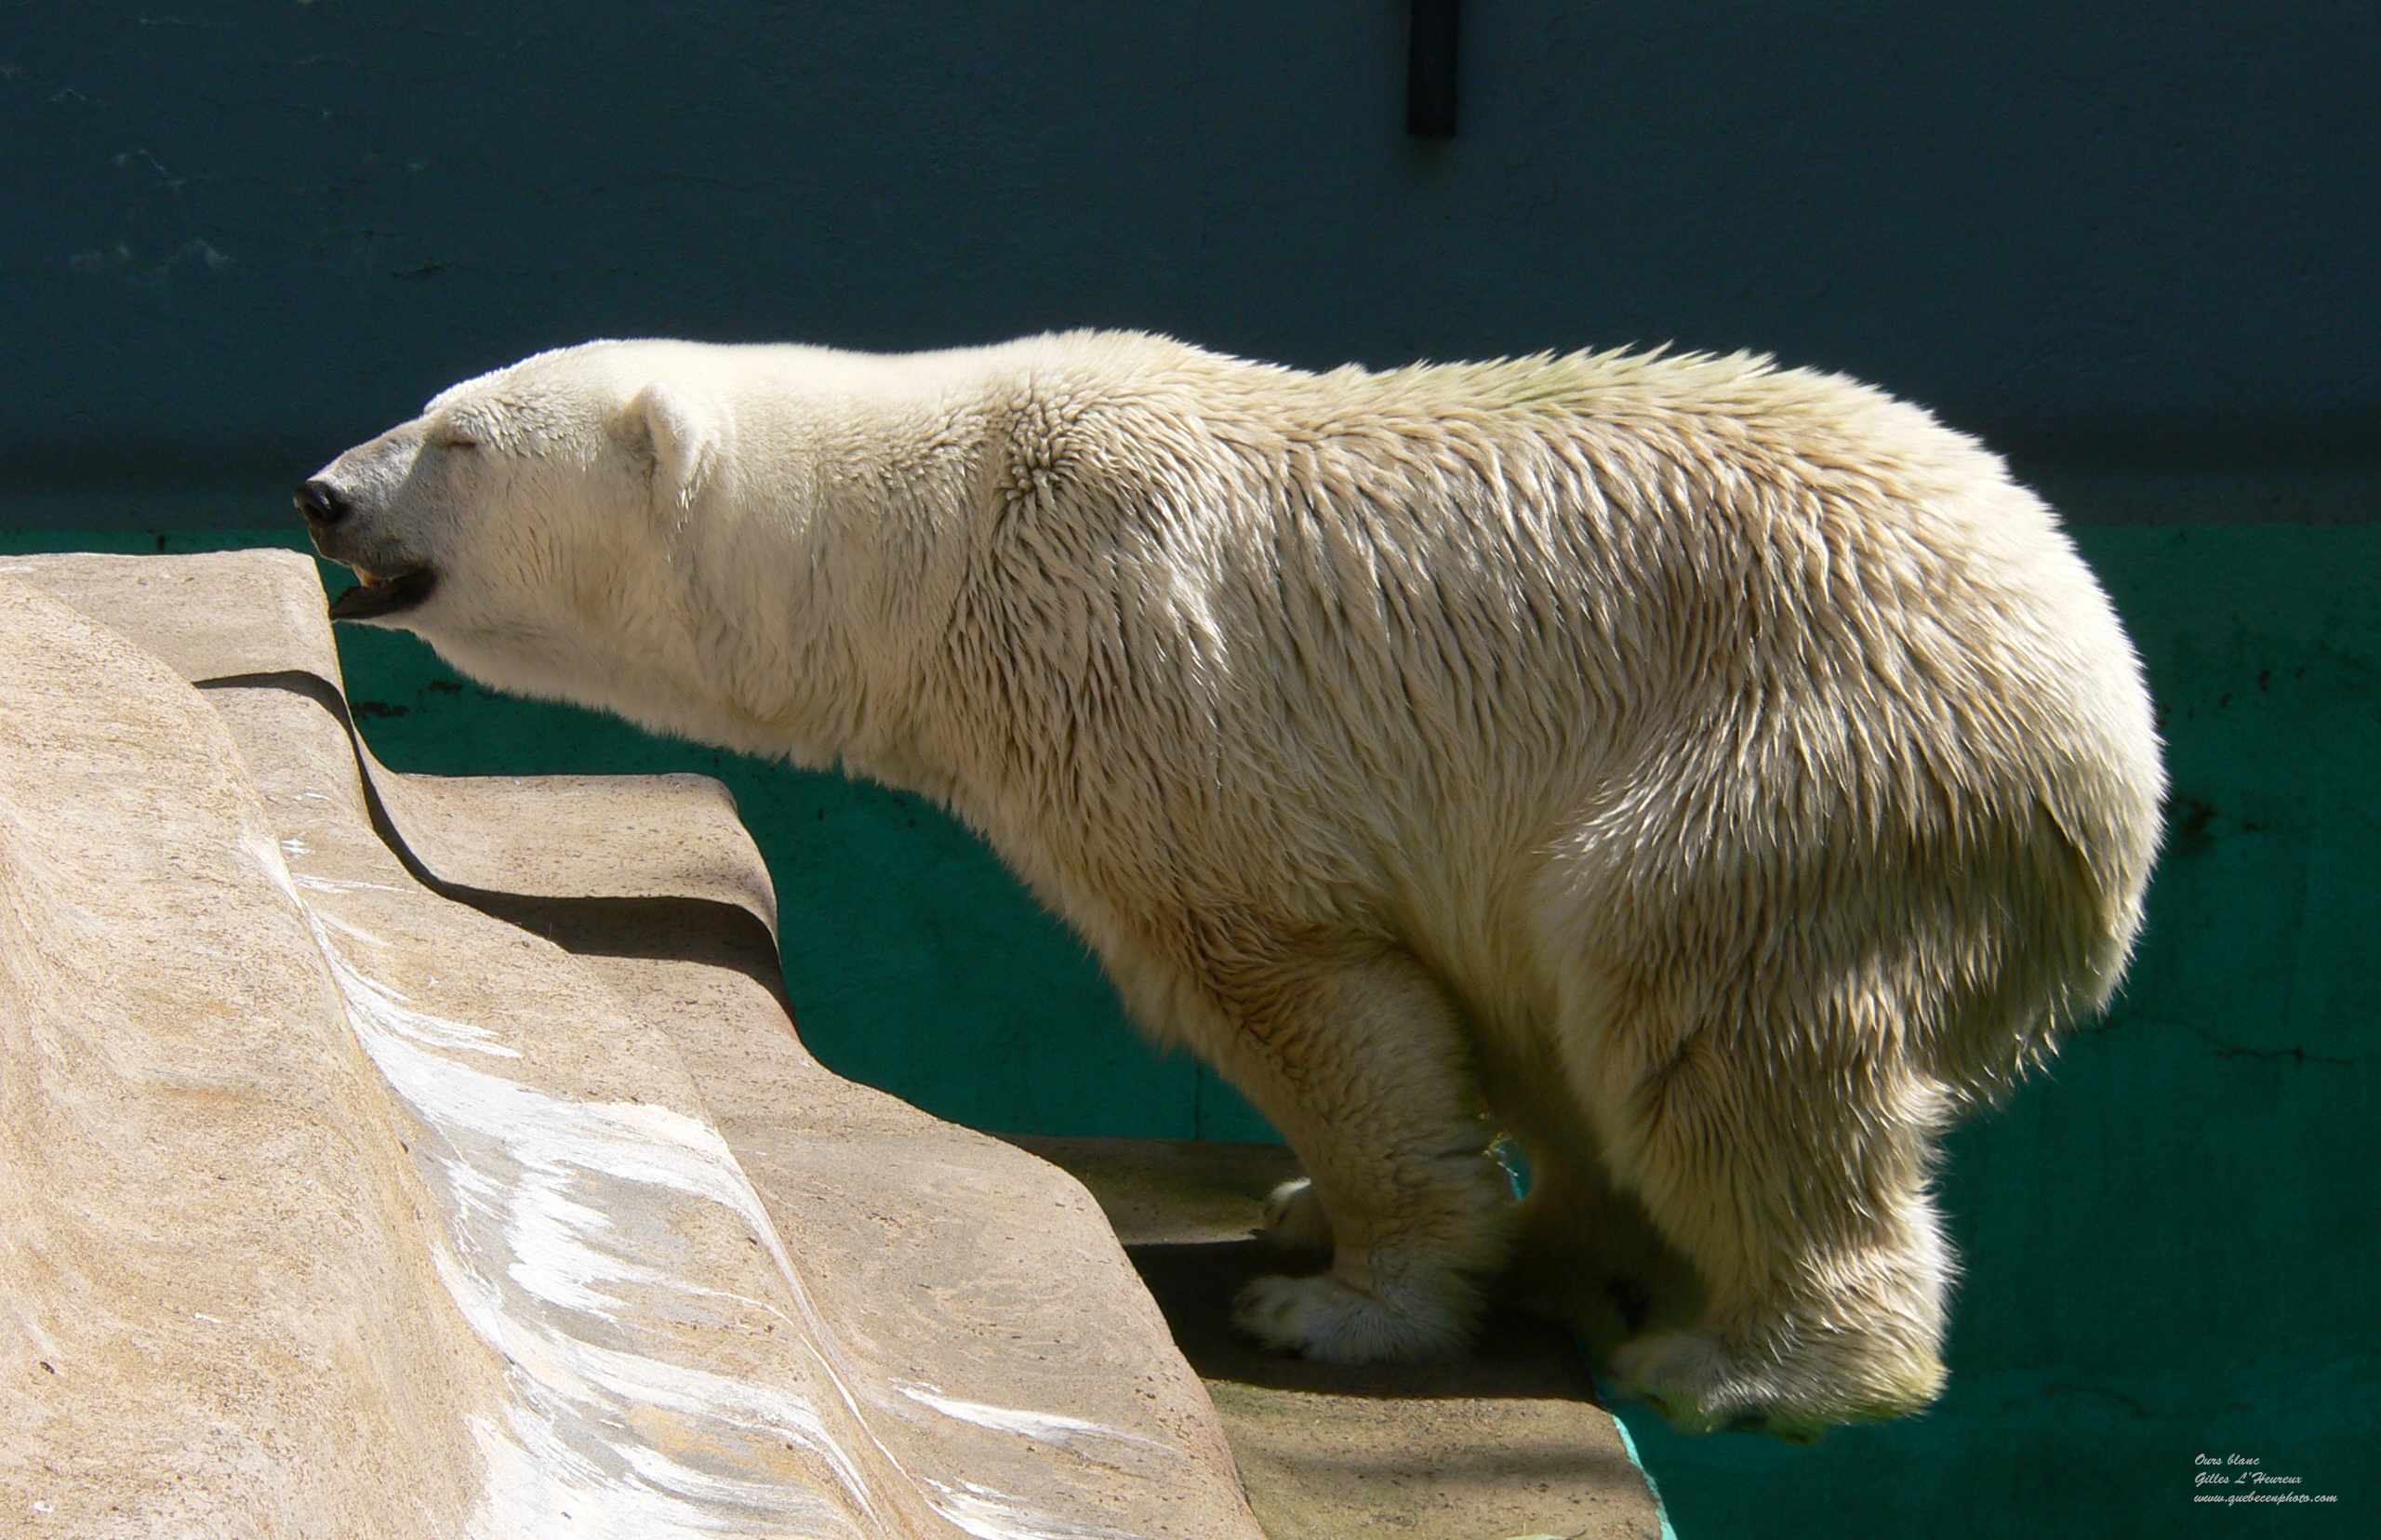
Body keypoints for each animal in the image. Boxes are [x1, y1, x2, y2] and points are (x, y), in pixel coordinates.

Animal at [292, 330, 2162, 1437]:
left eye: (455, 439)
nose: (317, 490)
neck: (937, 539)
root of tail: (2108, 728)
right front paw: (1308, 1212)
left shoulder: (1145, 680)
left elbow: (1291, 976)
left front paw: (1340, 1301)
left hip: (1805, 763)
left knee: (1699, 1003)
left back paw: (1755, 1364)